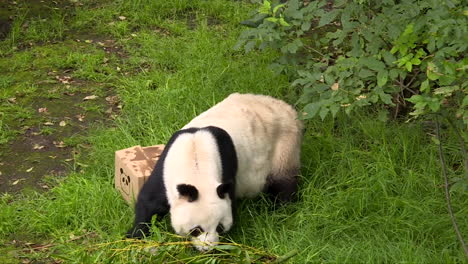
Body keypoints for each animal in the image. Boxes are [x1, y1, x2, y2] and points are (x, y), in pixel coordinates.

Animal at [127, 93, 304, 252]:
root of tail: (289, 110)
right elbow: (149, 202)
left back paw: (278, 210)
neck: (196, 160)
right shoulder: (165, 169)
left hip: (283, 146)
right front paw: (135, 236)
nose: (207, 248)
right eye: (196, 229)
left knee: (283, 183)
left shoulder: (227, 170)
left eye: (219, 227)